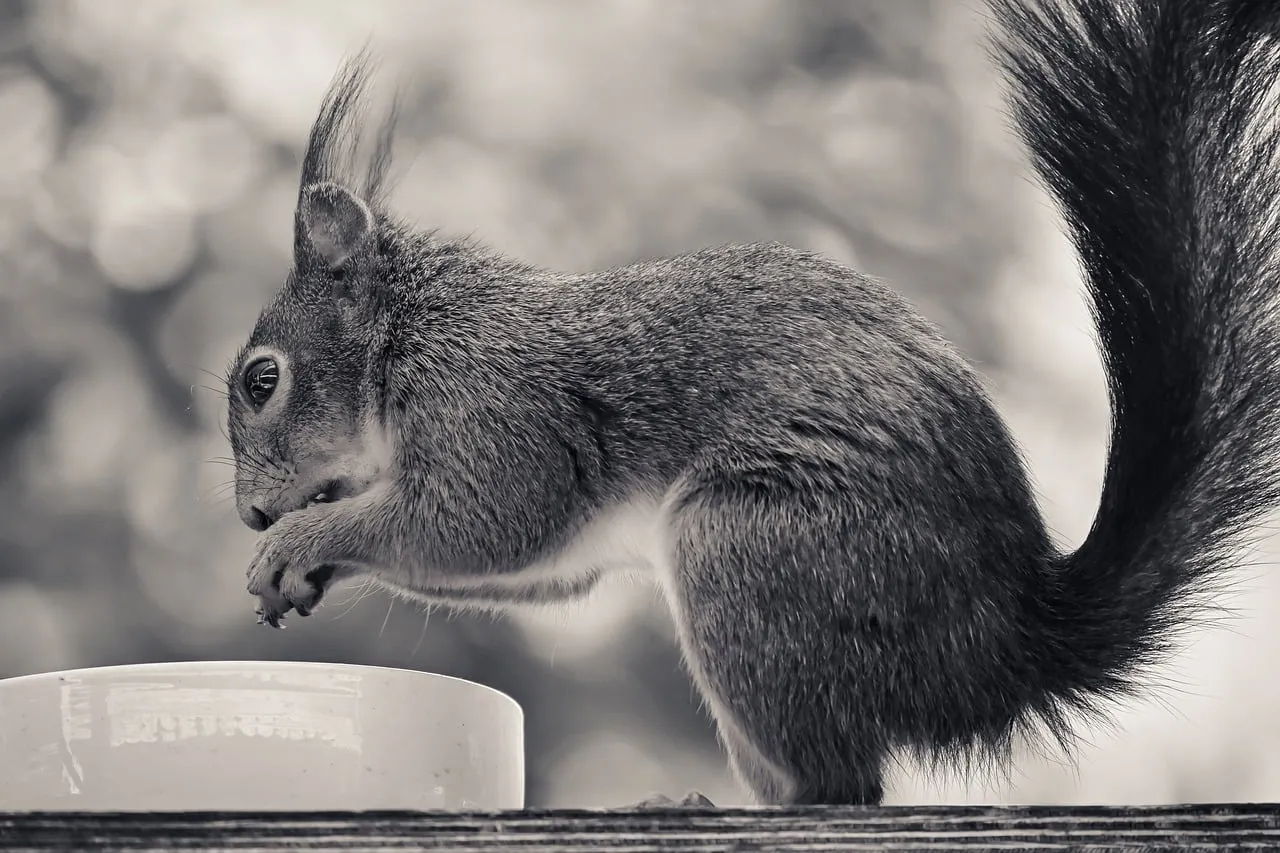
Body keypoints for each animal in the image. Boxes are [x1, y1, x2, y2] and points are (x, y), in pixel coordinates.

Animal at [226, 0, 1280, 807]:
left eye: (262, 379)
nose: (251, 514)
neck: (414, 335)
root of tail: (1002, 647)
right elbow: (523, 562)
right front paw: (305, 565)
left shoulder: (495, 406)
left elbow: (483, 520)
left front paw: (301, 546)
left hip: (753, 550)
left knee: (844, 791)